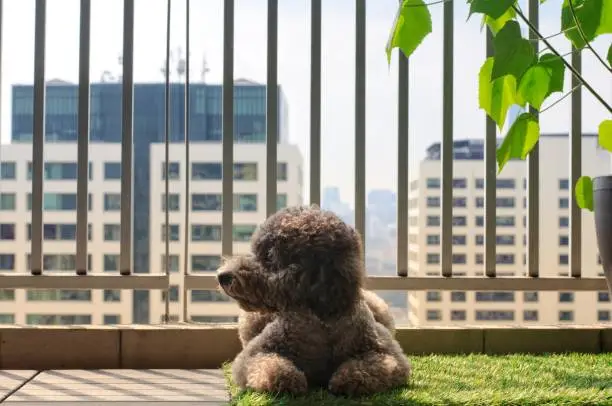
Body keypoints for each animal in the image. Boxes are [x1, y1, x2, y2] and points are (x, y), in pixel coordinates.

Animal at [216, 206, 412, 396]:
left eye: (270, 255)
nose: (222, 276)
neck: (321, 322)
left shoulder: (387, 352)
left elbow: (377, 365)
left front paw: (348, 379)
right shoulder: (253, 354)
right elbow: (268, 365)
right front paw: (288, 380)